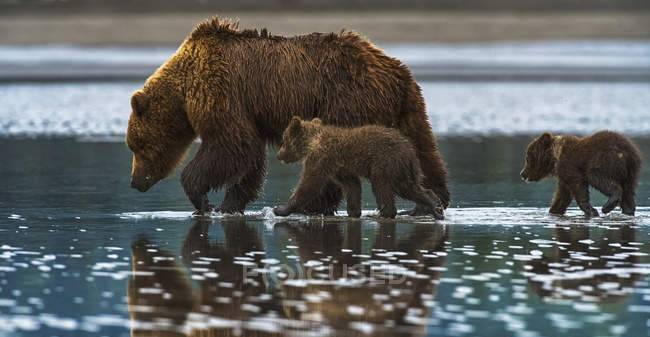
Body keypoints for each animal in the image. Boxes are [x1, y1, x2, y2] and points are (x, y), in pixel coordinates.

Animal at [126, 17, 450, 214]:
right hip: (405, 106)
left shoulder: (221, 91)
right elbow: (250, 157)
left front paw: (203, 200)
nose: (135, 181)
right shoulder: (248, 110)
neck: (184, 90)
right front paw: (230, 204)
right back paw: (431, 200)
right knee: (423, 146)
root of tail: (395, 69)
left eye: (136, 145)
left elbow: (230, 145)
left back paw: (312, 204)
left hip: (347, 98)